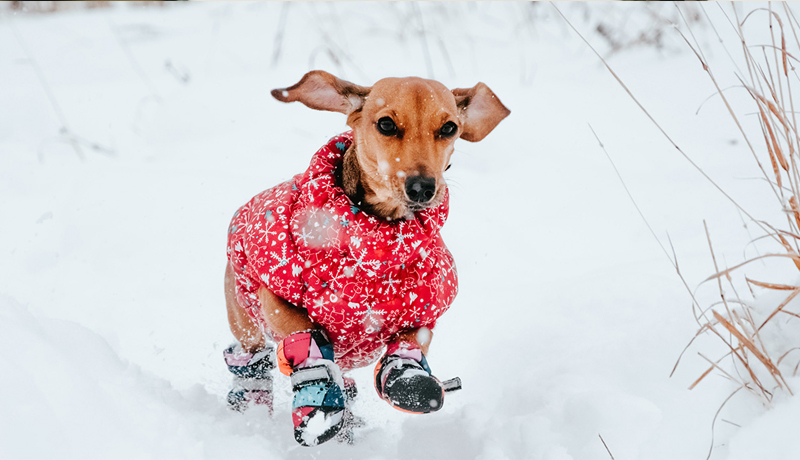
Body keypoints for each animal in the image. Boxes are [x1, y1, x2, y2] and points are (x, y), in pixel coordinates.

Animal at [222, 70, 510, 444]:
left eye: (449, 127)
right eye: (386, 124)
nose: (422, 187)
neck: (375, 251)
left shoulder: (426, 309)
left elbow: (411, 342)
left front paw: (407, 378)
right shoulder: (273, 295)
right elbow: (304, 333)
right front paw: (318, 394)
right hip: (245, 324)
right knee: (252, 364)